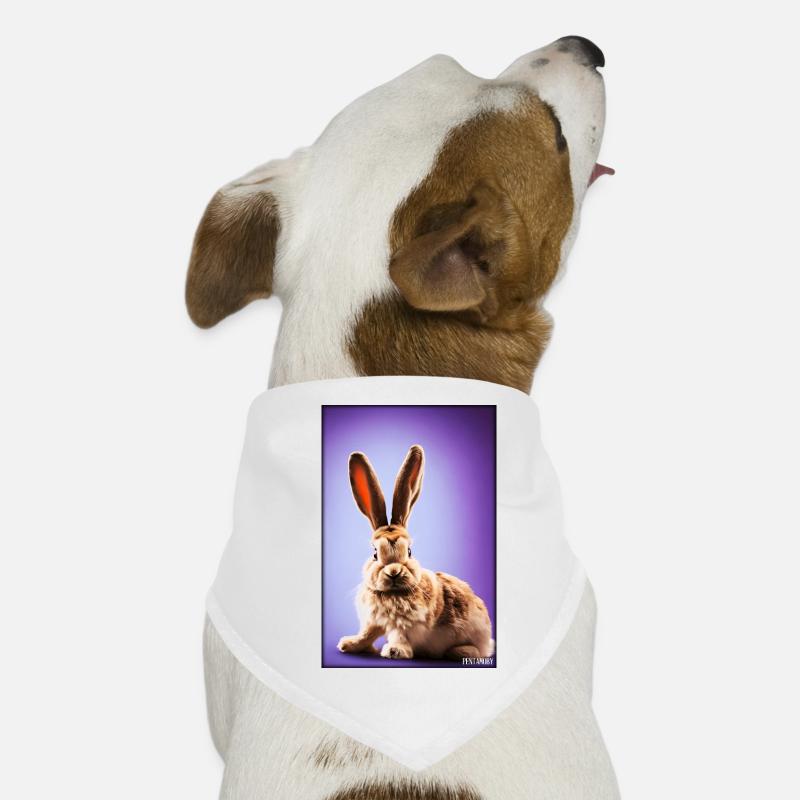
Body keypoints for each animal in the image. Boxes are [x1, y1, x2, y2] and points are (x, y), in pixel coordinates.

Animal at [337, 444, 495, 661]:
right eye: (375, 553)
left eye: (410, 551)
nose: (394, 572)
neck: (393, 593)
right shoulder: (374, 621)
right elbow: (367, 633)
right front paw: (348, 644)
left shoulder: (406, 624)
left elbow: (399, 635)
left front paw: (394, 651)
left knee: (477, 650)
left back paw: (459, 651)